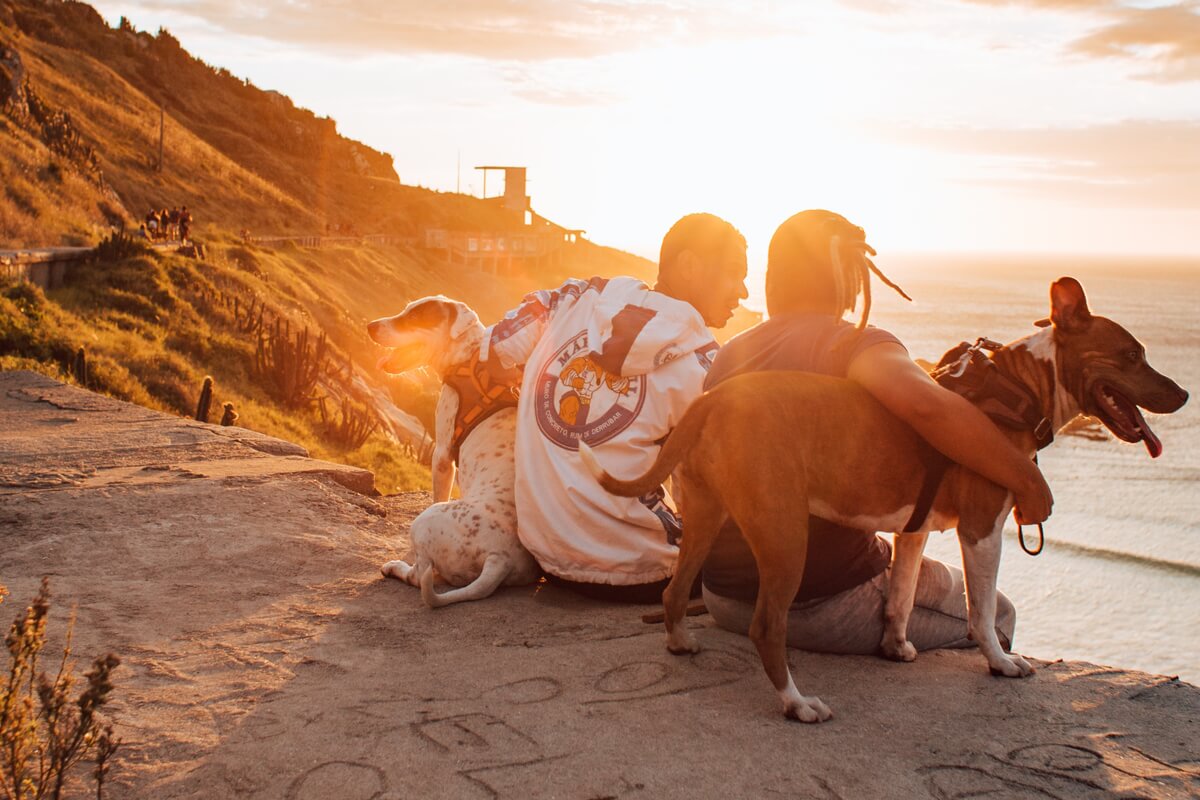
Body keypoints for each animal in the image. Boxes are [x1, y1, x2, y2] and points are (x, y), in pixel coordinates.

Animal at [362, 298, 537, 606]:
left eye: (415, 317)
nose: (371, 326)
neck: (469, 358)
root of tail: (499, 558)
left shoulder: (442, 455)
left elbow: (438, 489)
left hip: (426, 521)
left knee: (419, 574)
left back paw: (395, 567)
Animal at [580, 278, 1190, 724]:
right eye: (1131, 354)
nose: (1184, 394)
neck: (1017, 388)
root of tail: (715, 401)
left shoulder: (912, 530)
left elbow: (901, 593)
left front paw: (896, 646)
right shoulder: (982, 528)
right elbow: (981, 609)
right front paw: (999, 663)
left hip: (706, 516)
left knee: (676, 590)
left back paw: (681, 643)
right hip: (784, 534)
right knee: (766, 627)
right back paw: (796, 703)